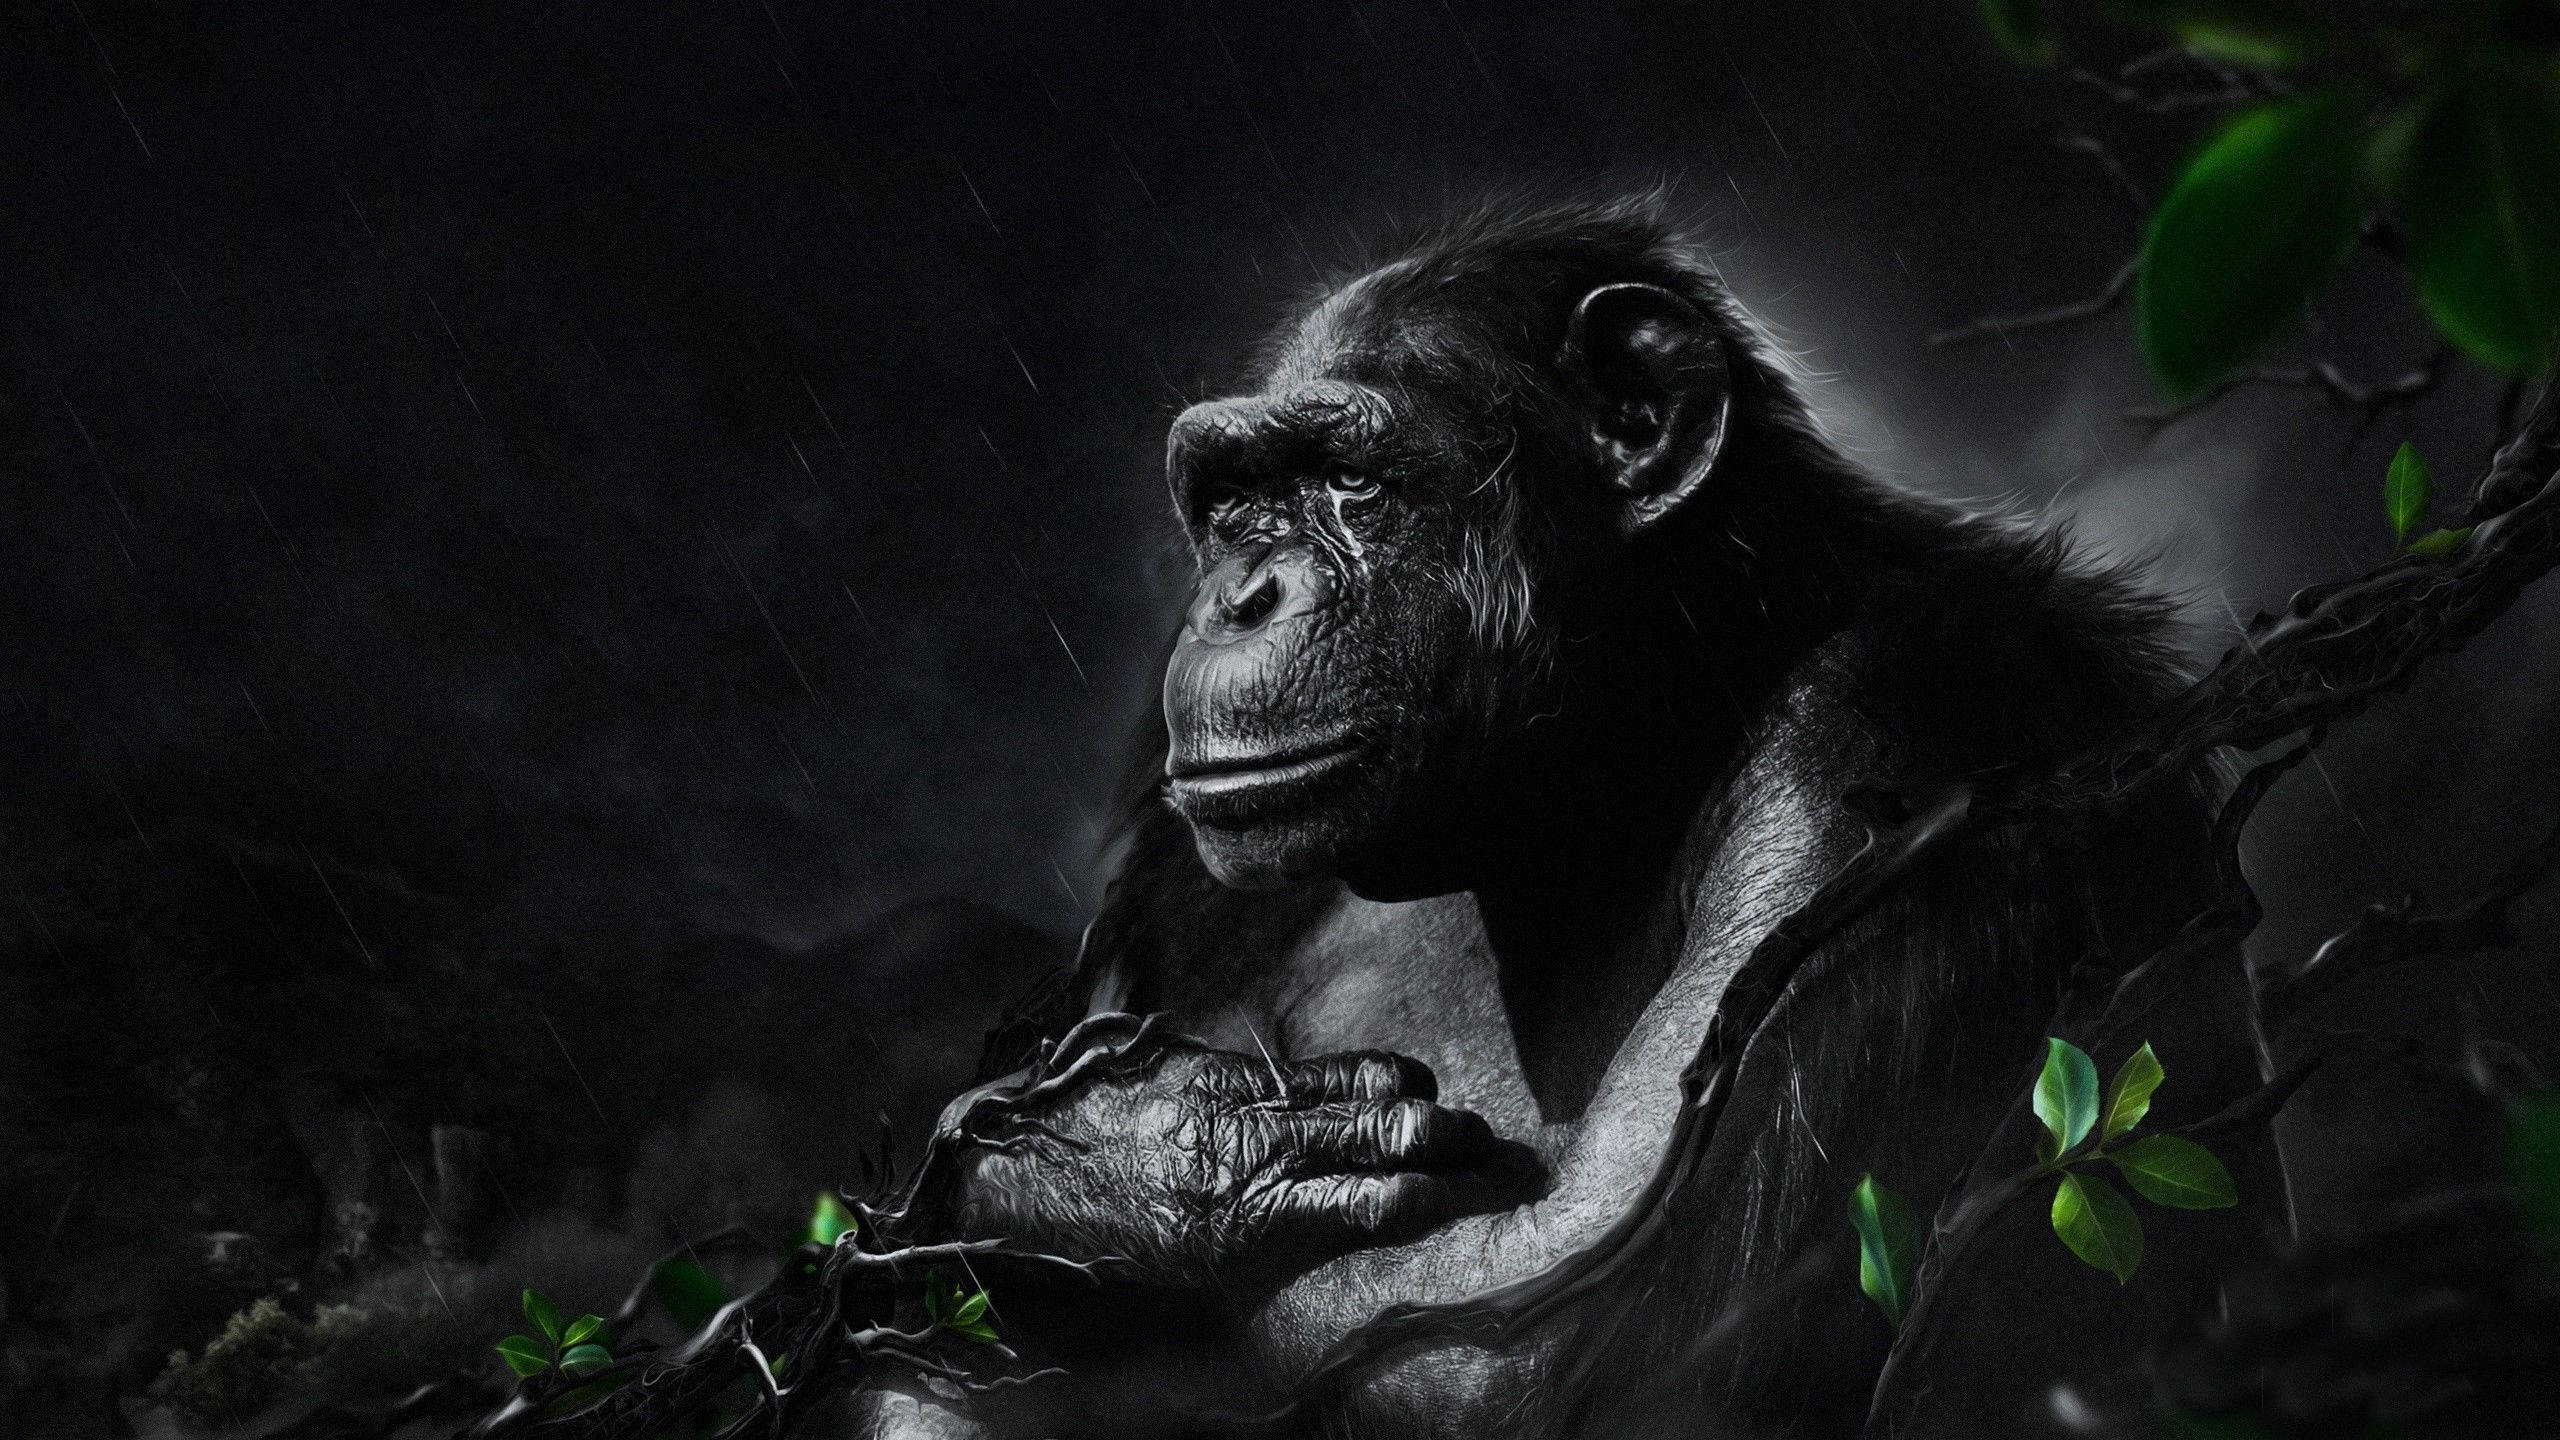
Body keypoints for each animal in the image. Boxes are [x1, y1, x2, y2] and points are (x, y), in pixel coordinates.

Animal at [812, 192, 2281, 1439]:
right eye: (1232, 503)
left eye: (1348, 481)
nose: (1241, 596)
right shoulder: (1172, 871)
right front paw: (1139, 1165)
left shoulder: (1902, 741)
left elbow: (1561, 1335)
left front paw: (1113, 1169)